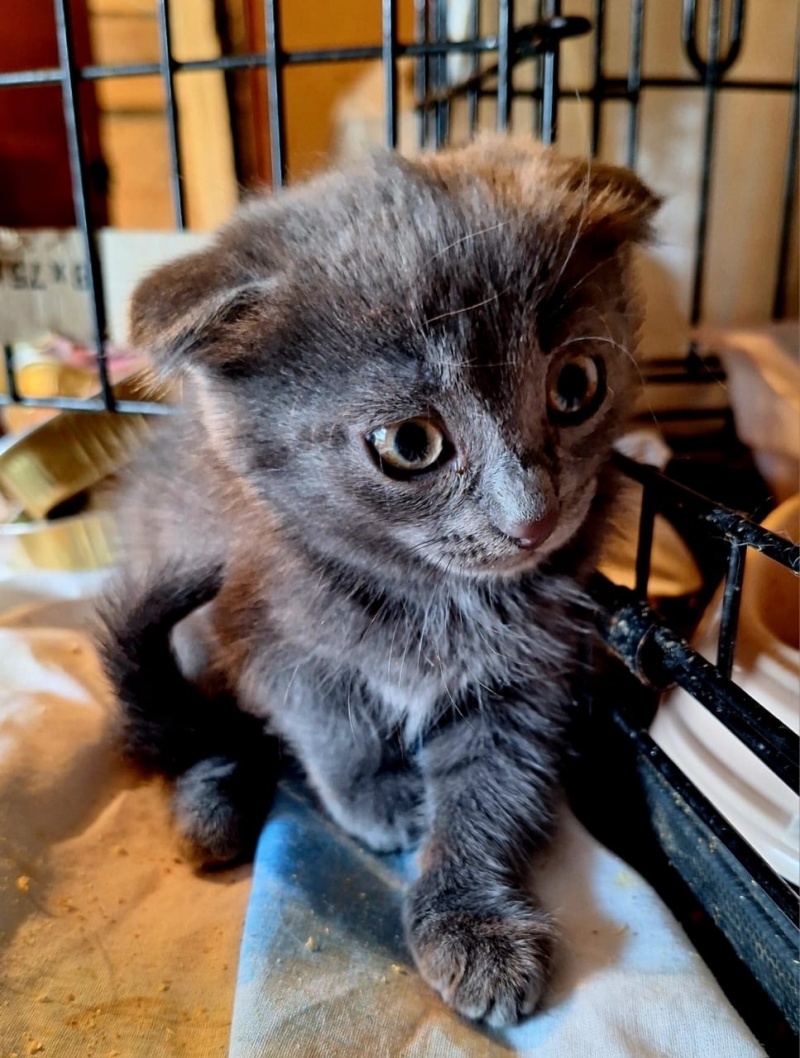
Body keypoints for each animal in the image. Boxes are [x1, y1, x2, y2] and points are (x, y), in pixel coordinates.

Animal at [97, 137, 659, 1026]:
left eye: (577, 387)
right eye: (410, 443)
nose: (532, 519)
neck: (426, 597)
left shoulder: (528, 676)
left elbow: (492, 786)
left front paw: (471, 921)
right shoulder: (262, 630)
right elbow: (327, 718)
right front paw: (379, 797)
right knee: (190, 723)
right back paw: (210, 806)